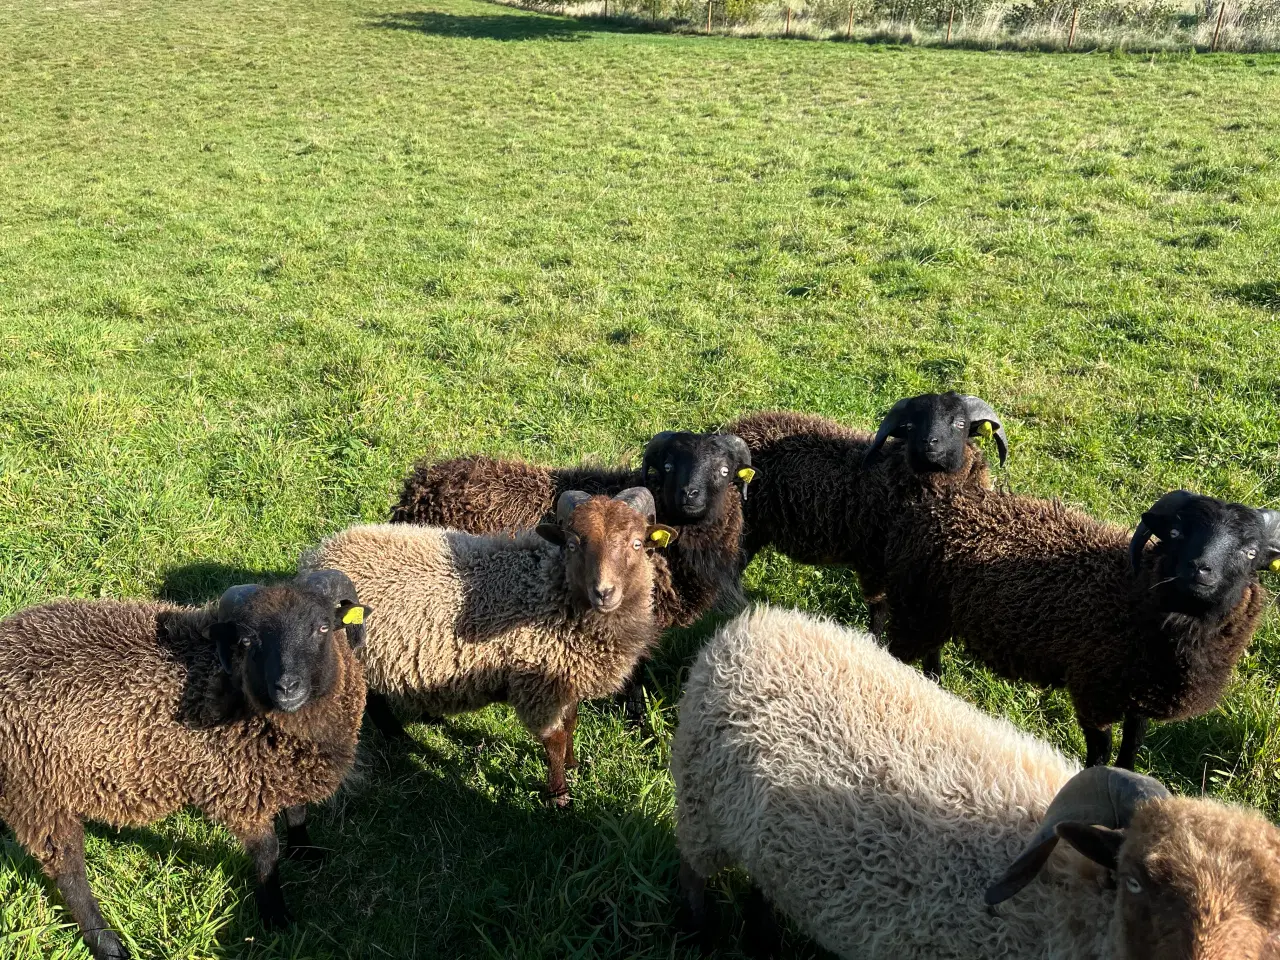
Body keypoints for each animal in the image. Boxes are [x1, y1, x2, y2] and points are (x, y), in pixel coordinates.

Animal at [0, 570, 371, 960]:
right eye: (249, 639)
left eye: (323, 627)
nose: (287, 688)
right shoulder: (234, 790)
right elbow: (267, 854)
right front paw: (275, 916)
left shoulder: (280, 771)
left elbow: (297, 811)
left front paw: (307, 853)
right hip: (39, 793)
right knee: (69, 875)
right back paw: (108, 944)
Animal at [300, 483, 680, 808]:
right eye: (573, 545)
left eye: (636, 543)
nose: (604, 592)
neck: (550, 588)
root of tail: (319, 554)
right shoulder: (538, 684)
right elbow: (554, 740)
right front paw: (559, 796)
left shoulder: (563, 677)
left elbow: (571, 722)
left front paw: (573, 765)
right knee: (374, 701)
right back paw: (398, 737)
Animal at [670, 609, 1280, 960]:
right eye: (1133, 881)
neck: (1070, 906)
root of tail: (755, 625)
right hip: (699, 808)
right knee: (694, 874)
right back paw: (699, 935)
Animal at [880, 491, 1280, 773]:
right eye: (1177, 533)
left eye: (1250, 552)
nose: (1200, 569)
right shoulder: (1094, 692)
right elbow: (1100, 753)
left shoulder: (1139, 695)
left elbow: (1131, 748)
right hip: (915, 609)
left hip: (933, 614)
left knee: (931, 652)